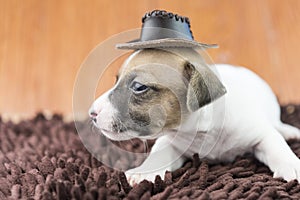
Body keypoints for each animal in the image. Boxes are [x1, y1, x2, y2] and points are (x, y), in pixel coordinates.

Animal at [89, 47, 300, 186]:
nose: (92, 113)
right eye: (116, 80)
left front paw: (293, 164)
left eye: (139, 87)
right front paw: (145, 171)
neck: (202, 131)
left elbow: (275, 145)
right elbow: (160, 153)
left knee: (277, 125)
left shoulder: (260, 133)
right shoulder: (171, 142)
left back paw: (288, 131)